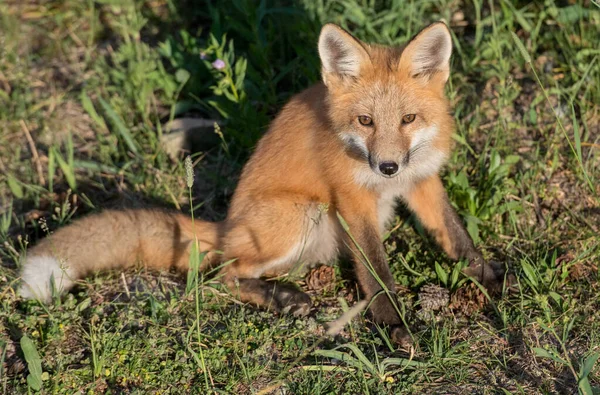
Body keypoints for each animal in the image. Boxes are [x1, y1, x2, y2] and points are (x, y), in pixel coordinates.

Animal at [18, 21, 506, 344]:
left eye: (408, 119)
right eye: (365, 121)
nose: (386, 167)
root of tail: (226, 224)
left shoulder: (422, 180)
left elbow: (455, 235)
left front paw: (487, 278)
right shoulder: (352, 199)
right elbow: (376, 271)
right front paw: (395, 326)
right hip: (302, 215)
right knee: (223, 274)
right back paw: (283, 299)